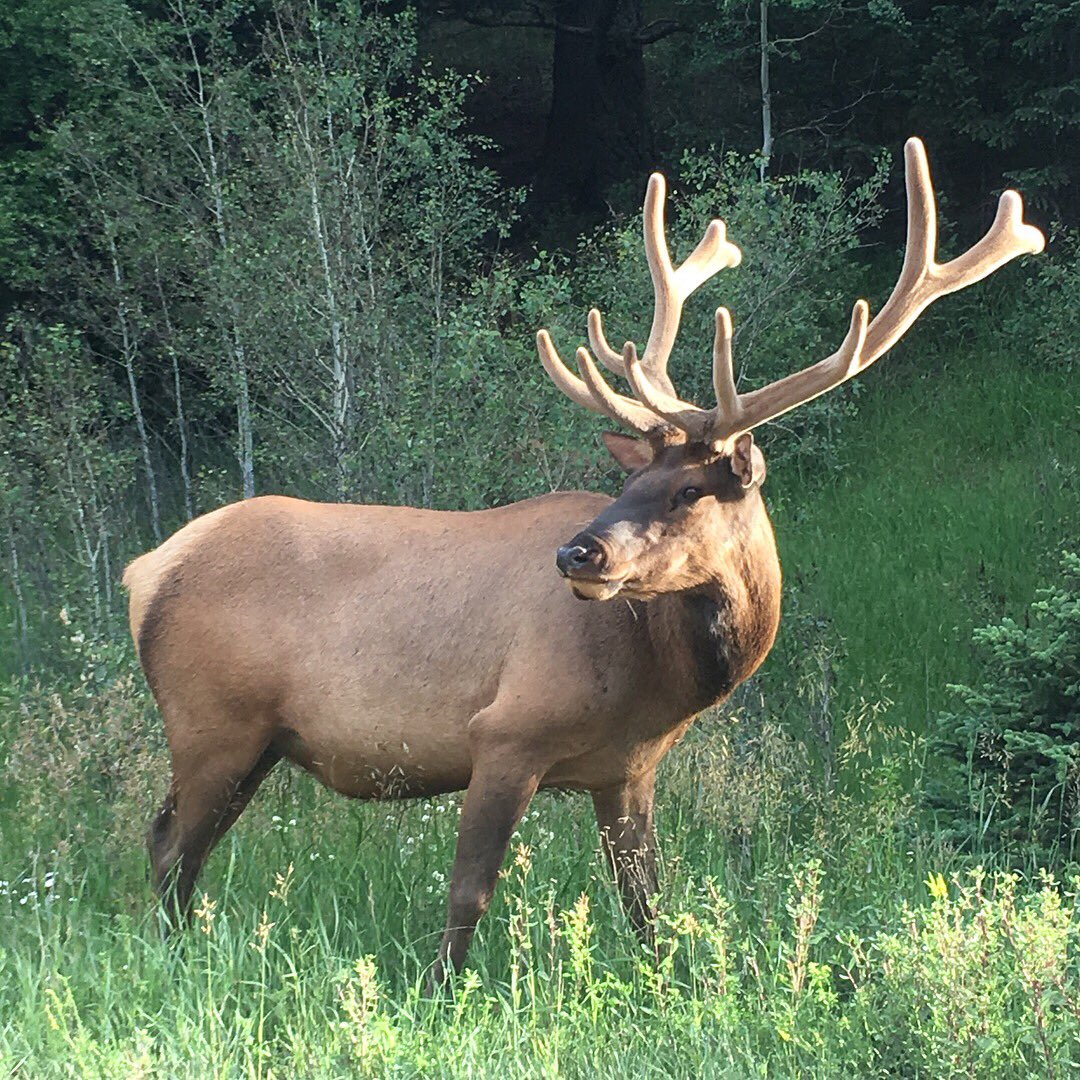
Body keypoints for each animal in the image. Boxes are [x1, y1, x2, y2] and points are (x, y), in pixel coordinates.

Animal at [123, 139, 1043, 989]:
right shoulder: (506, 731)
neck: (659, 682)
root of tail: (145, 571)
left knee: (181, 845)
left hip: (254, 740)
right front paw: (438, 994)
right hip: (213, 720)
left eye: (687, 490)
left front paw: (670, 990)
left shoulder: (626, 770)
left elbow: (647, 902)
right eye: (629, 480)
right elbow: (468, 892)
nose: (577, 551)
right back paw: (171, 962)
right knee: (169, 843)